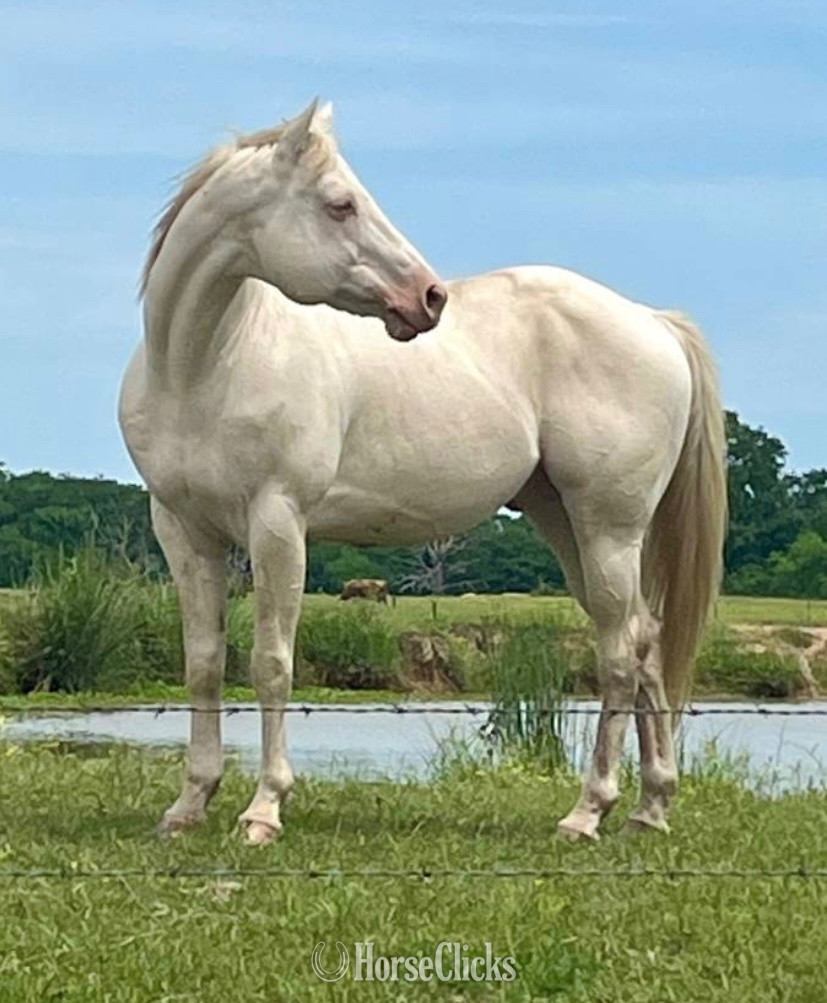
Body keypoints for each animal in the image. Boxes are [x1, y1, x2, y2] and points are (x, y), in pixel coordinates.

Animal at [120, 100, 727, 847]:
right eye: (341, 204)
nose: (429, 296)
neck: (203, 367)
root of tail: (652, 321)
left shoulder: (277, 524)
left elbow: (270, 665)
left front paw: (263, 809)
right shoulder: (184, 530)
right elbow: (203, 664)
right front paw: (189, 803)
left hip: (608, 527)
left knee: (618, 655)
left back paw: (588, 811)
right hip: (569, 525)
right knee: (644, 643)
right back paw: (651, 805)